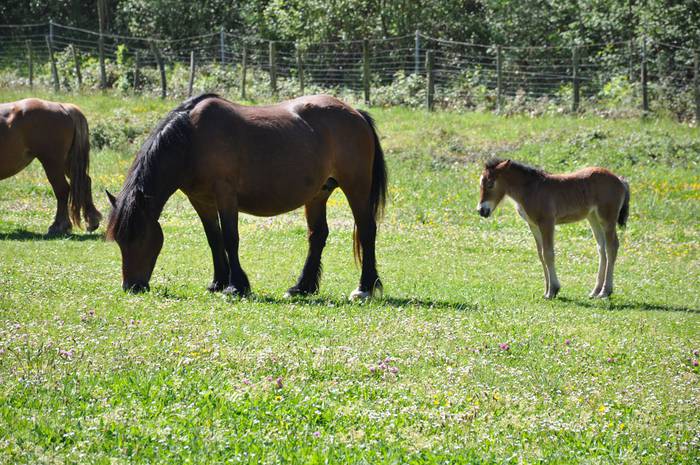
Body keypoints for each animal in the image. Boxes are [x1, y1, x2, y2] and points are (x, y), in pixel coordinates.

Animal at [0, 99, 103, 234]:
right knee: (84, 182)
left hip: (52, 163)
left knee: (62, 190)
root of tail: (62, 107)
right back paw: (92, 221)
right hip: (67, 163)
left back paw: (59, 226)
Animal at [106, 92, 388, 300]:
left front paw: (236, 286)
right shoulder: (201, 200)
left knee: (367, 230)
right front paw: (218, 282)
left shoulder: (225, 195)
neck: (192, 139)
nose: (132, 286)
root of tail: (356, 113)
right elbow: (214, 239)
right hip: (319, 194)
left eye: (140, 235)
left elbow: (230, 238)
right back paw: (301, 287)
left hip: (356, 187)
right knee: (317, 236)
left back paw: (364, 288)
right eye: (119, 240)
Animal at [478, 159, 632, 298]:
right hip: (593, 218)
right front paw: (546, 291)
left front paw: (553, 290)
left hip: (607, 219)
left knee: (611, 247)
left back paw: (605, 291)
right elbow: (541, 255)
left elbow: (548, 254)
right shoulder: (533, 225)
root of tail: (620, 179)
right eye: (480, 184)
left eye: (491, 184)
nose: (481, 211)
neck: (531, 189)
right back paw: (595, 291)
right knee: (601, 248)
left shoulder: (547, 222)